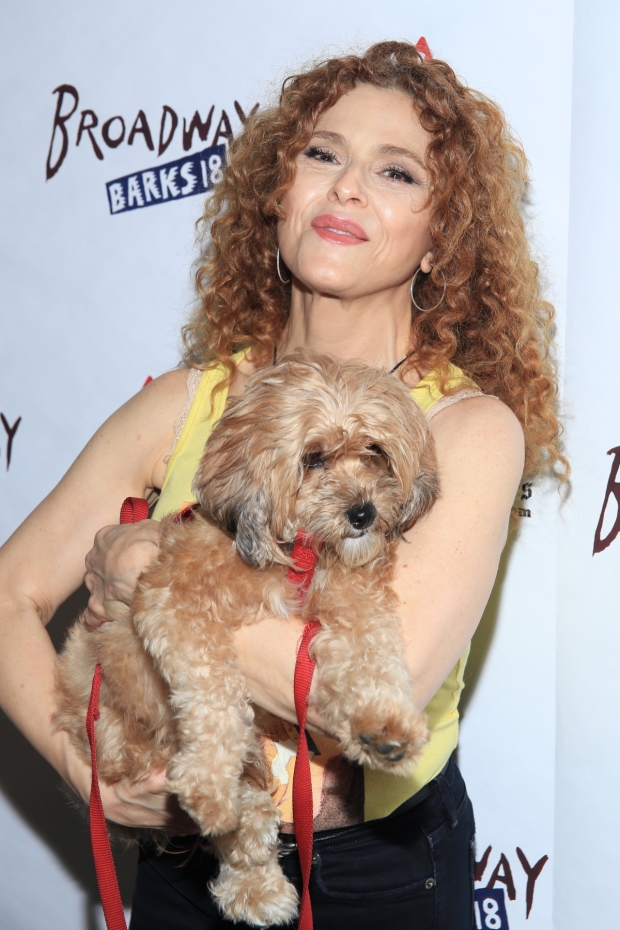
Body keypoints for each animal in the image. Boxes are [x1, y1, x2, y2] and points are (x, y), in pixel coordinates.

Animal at [55, 352, 438, 924]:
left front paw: (384, 725)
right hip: (125, 735)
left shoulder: (355, 601)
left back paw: (255, 884)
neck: (299, 551)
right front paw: (209, 784)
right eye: (314, 458)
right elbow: (214, 694)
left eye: (374, 450)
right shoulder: (172, 605)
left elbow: (373, 654)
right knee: (244, 801)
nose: (363, 513)